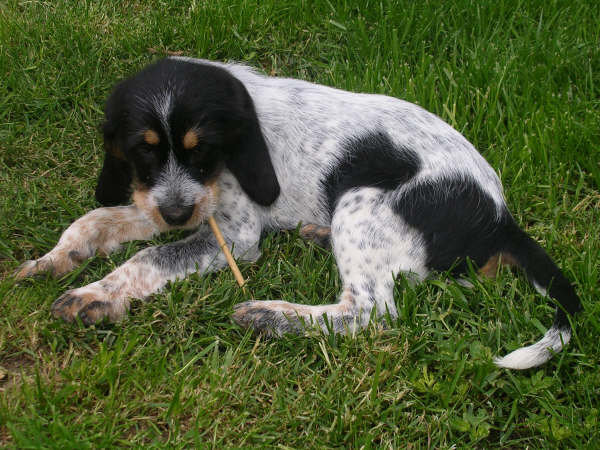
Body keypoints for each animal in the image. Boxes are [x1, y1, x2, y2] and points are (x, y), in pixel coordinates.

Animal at [16, 57, 580, 370]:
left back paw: (272, 316)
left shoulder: (233, 233)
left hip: (358, 201)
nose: (177, 215)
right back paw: (313, 236)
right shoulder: (167, 202)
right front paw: (56, 260)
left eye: (204, 150)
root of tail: (501, 218)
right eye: (142, 151)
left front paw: (94, 295)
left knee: (370, 313)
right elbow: (95, 220)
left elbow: (149, 258)